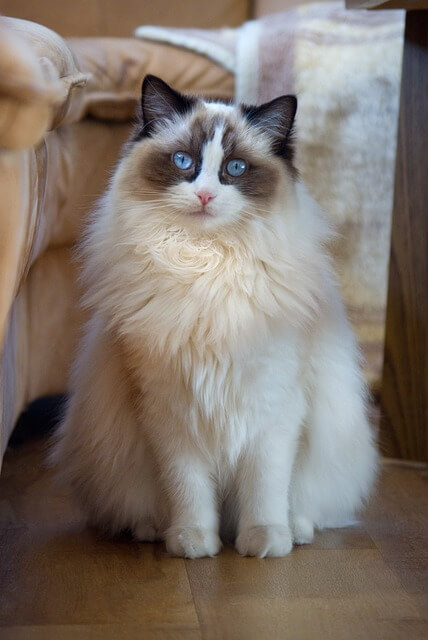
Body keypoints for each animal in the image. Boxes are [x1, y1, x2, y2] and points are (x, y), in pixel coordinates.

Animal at [51, 74, 378, 556]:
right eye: (183, 162)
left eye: (236, 169)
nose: (205, 195)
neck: (208, 266)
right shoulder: (170, 414)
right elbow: (188, 490)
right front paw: (192, 543)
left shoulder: (273, 409)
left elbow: (265, 490)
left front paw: (263, 543)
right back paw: (155, 530)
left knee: (307, 507)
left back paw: (295, 531)